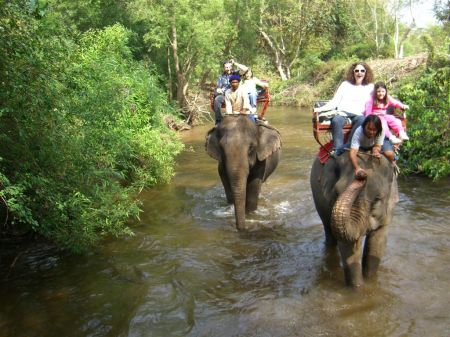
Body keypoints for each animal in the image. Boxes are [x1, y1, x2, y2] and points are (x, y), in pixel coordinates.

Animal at [310, 152, 400, 286]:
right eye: (336, 192)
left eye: (377, 198)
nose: (362, 174)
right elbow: (348, 248)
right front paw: (358, 287)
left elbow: (377, 243)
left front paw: (370, 281)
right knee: (329, 232)